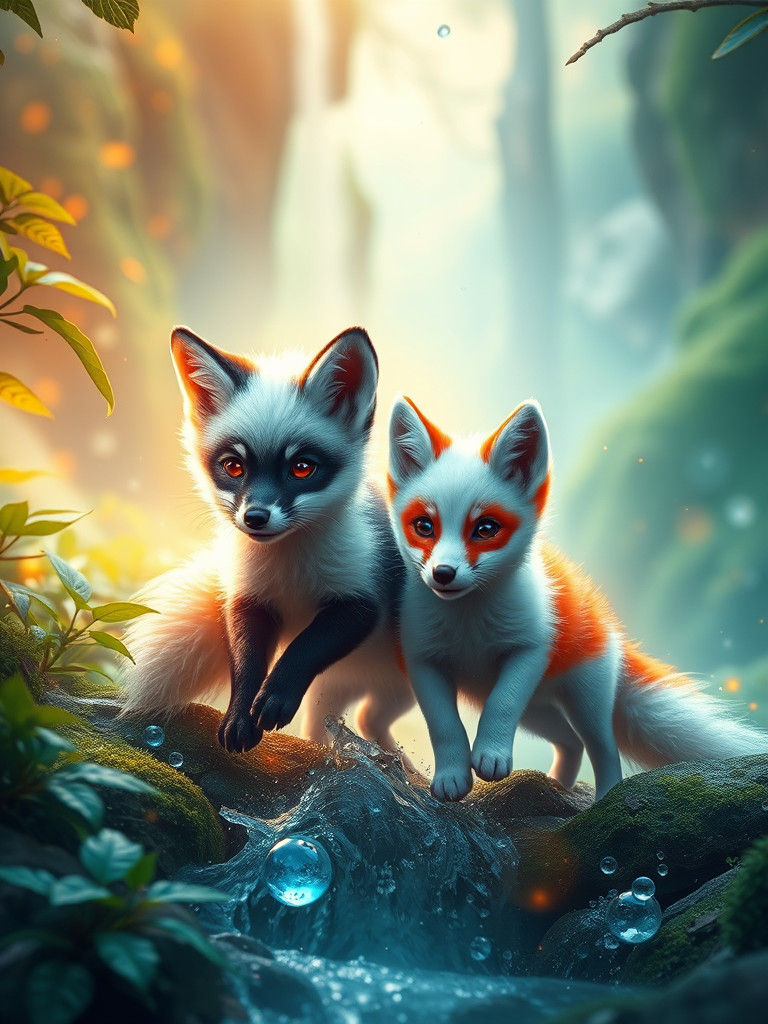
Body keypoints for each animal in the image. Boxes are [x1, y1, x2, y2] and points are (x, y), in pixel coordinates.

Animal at [119, 325, 414, 754]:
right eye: (233, 466)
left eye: (302, 467)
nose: (255, 517)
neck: (288, 572)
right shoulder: (249, 599)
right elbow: (247, 665)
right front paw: (239, 719)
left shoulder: (360, 602)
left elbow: (302, 649)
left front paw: (273, 700)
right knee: (336, 723)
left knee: (362, 719)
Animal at [387, 394, 766, 802]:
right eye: (424, 526)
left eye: (485, 528)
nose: (443, 573)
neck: (469, 622)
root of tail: (607, 621)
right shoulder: (422, 659)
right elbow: (444, 724)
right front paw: (452, 777)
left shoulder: (530, 650)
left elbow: (501, 706)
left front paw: (490, 754)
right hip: (537, 710)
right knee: (571, 742)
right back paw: (558, 786)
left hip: (585, 699)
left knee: (602, 747)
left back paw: (604, 800)